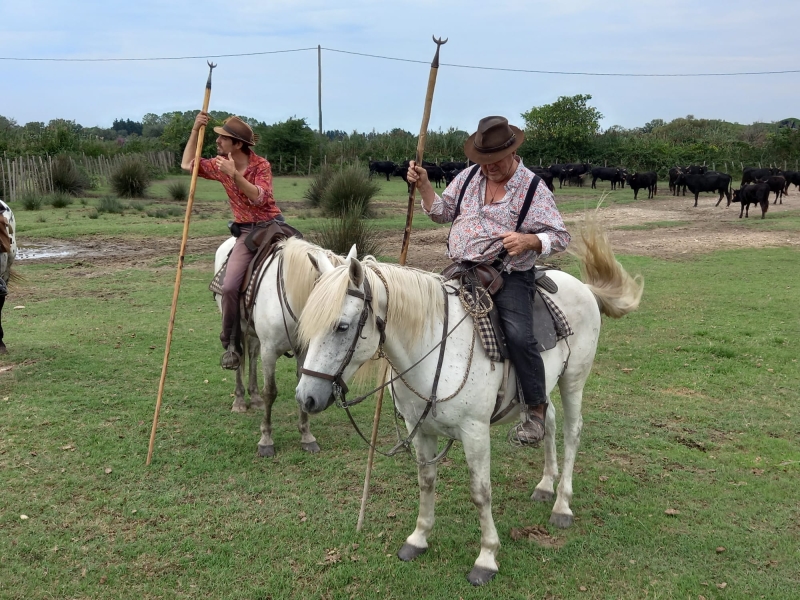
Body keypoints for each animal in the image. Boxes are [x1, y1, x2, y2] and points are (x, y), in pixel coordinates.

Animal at [212, 237, 350, 458]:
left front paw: (306, 436)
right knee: (239, 356)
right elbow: (270, 392)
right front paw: (266, 440)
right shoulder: (269, 352)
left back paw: (254, 397)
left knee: (252, 354)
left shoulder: (305, 352)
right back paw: (240, 400)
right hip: (236, 325)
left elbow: (302, 386)